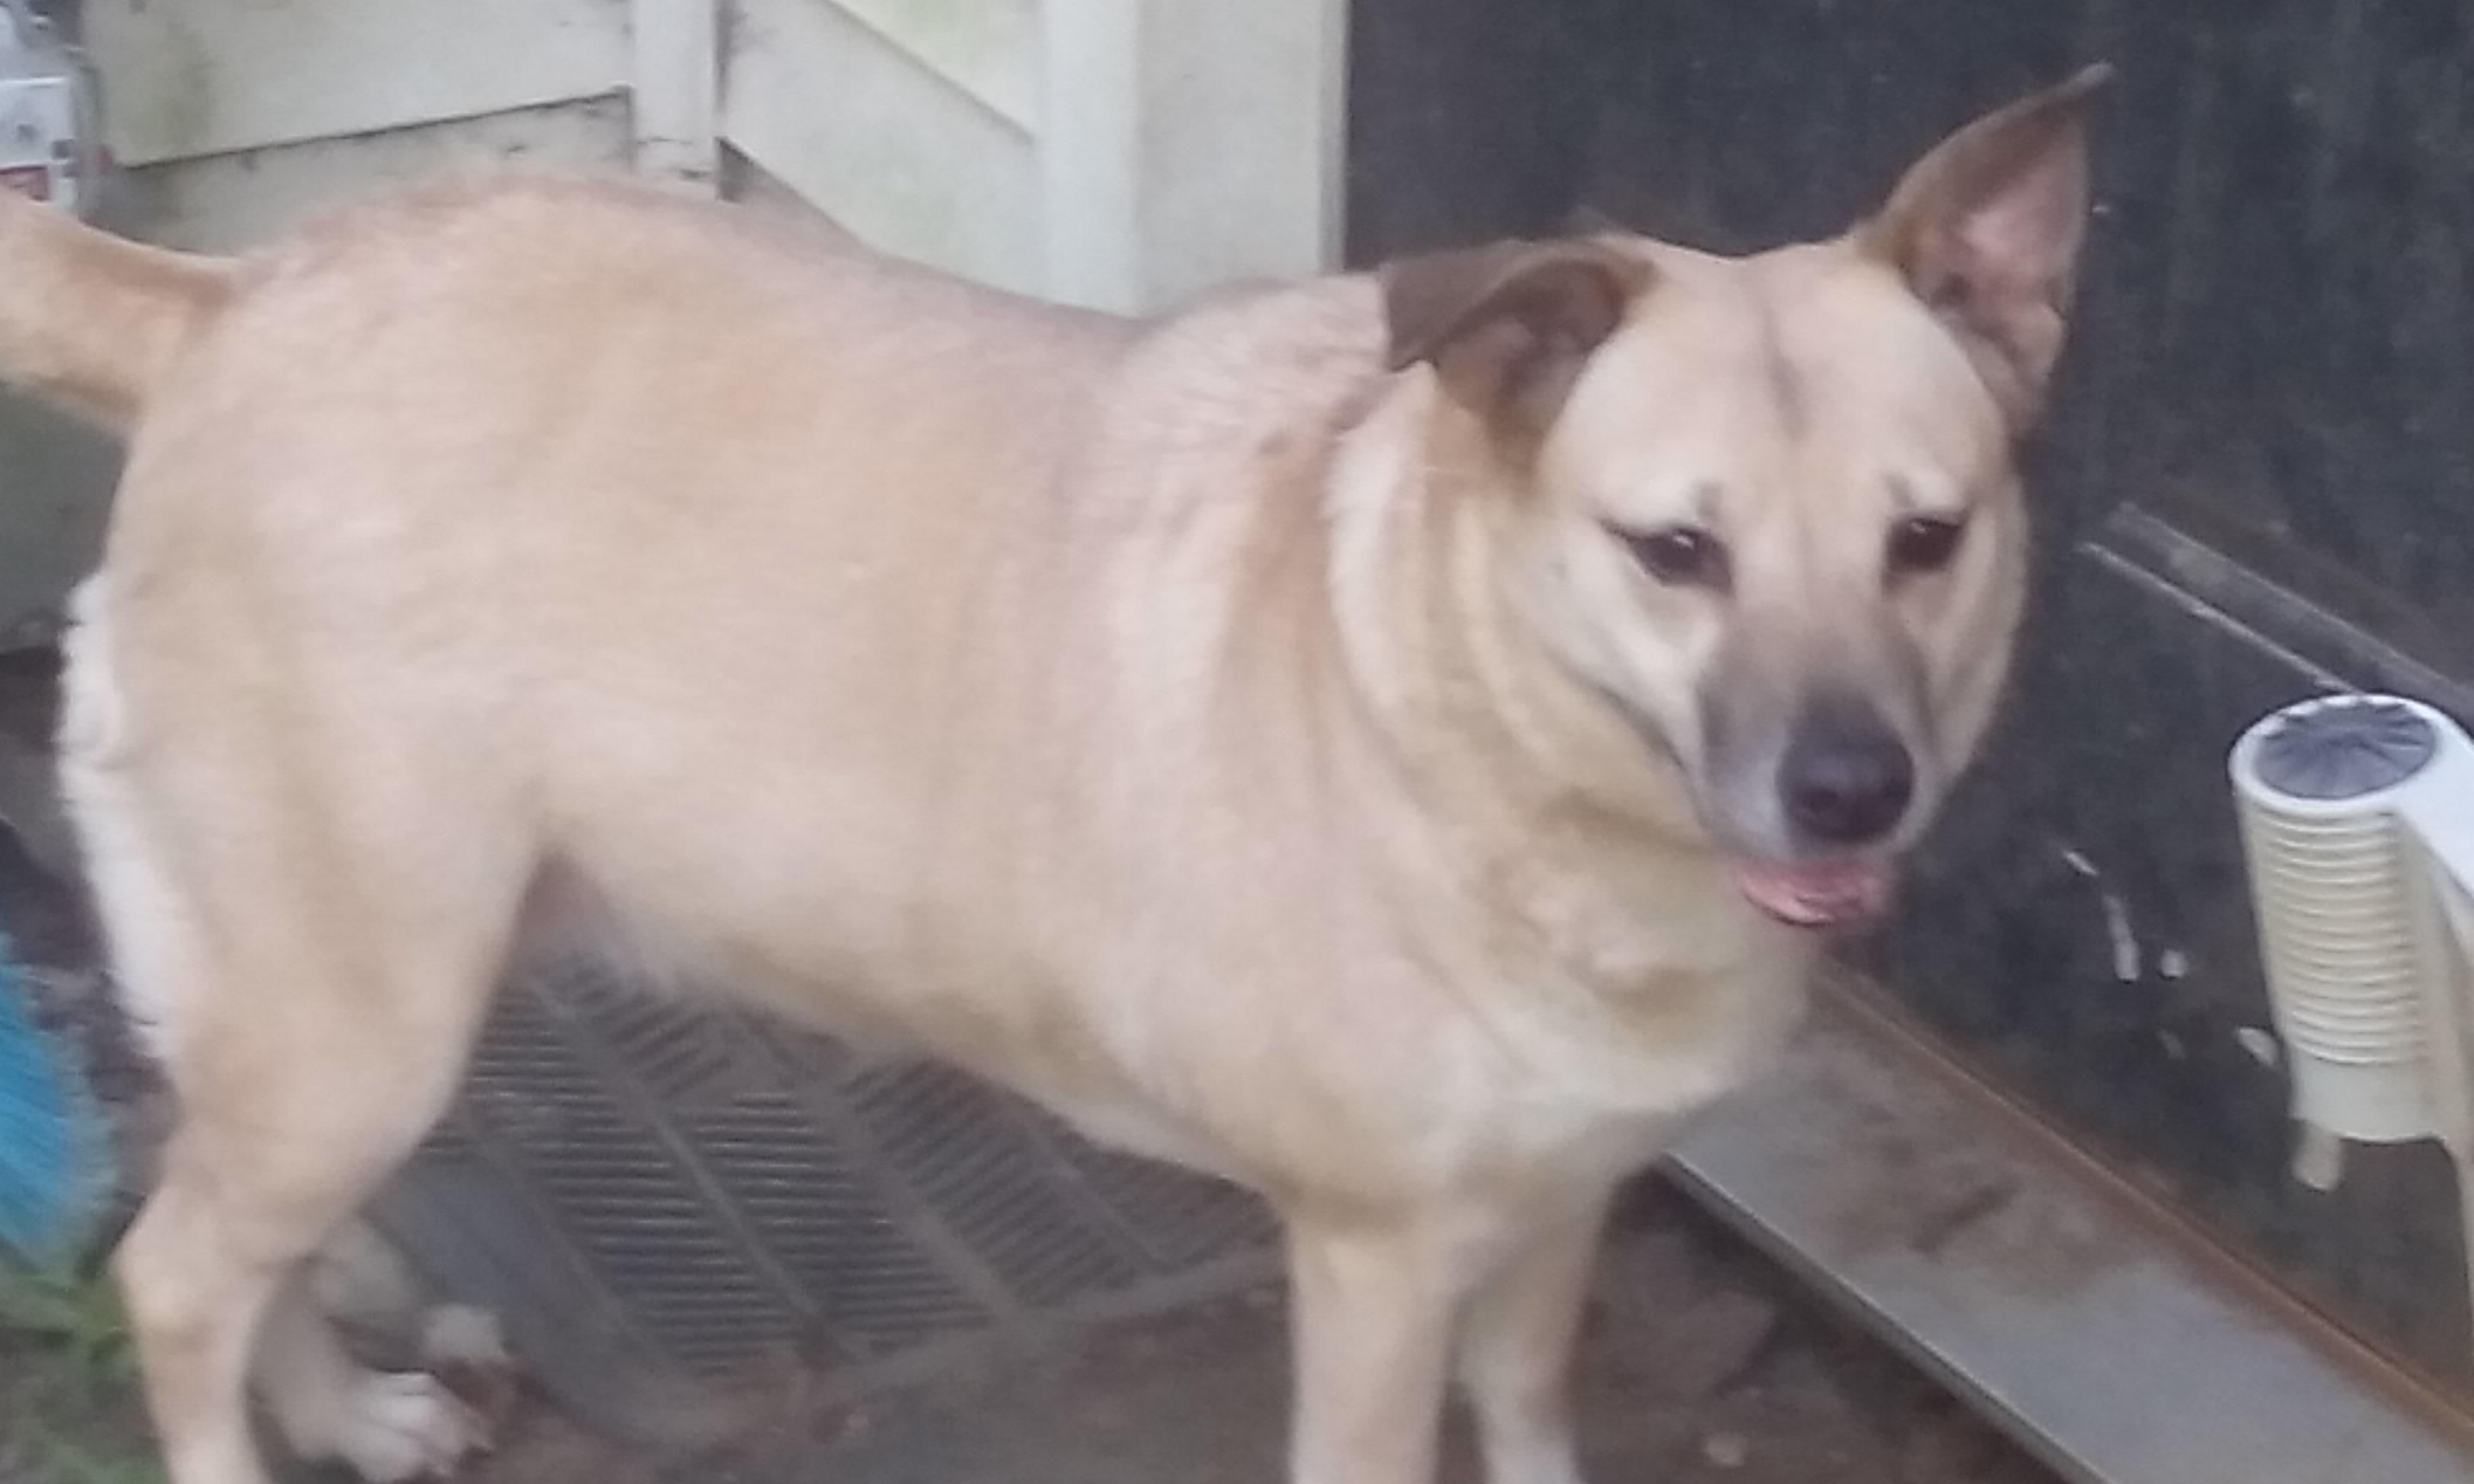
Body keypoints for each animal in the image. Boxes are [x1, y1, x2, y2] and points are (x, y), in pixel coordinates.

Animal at [0, 64, 2107, 1484]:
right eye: (1677, 551)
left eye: (1928, 538)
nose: (1854, 791)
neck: (1485, 724)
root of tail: (237, 294)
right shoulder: (1376, 1268)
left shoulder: (1555, 1224)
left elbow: (1534, 1429)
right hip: (365, 1020)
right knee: (178, 1276)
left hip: (327, 1015)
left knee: (218, 1225)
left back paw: (344, 1411)